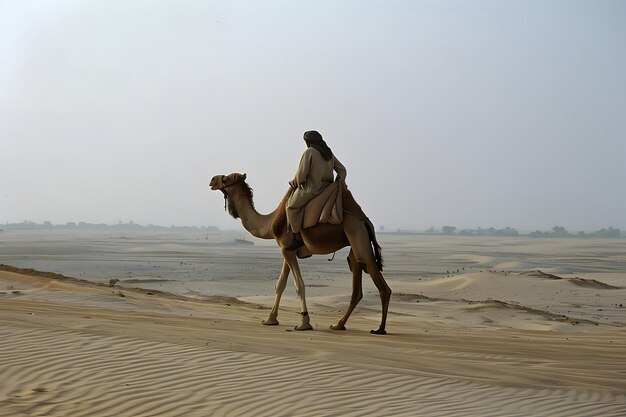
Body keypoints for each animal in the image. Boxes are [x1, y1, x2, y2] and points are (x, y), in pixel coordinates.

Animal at [210, 171, 390, 334]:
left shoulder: (286, 249)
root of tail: (366, 221)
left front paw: (304, 323)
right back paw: (338, 325)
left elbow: (299, 285)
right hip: (355, 244)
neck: (270, 223)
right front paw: (270, 319)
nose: (212, 180)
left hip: (358, 235)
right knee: (356, 287)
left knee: (381, 285)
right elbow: (280, 284)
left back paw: (379, 329)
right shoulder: (288, 249)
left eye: (226, 179)